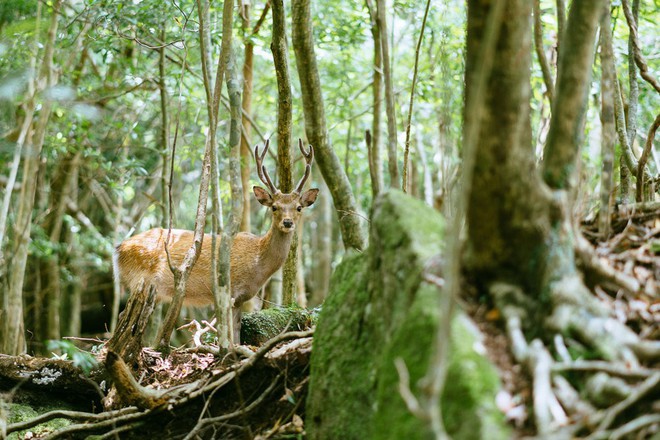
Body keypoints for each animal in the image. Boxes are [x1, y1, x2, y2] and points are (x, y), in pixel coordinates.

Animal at [113, 141, 320, 344]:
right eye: (275, 207)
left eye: (298, 207)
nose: (288, 222)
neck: (257, 263)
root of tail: (119, 248)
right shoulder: (229, 290)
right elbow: (228, 333)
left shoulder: (239, 299)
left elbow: (236, 332)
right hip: (140, 280)